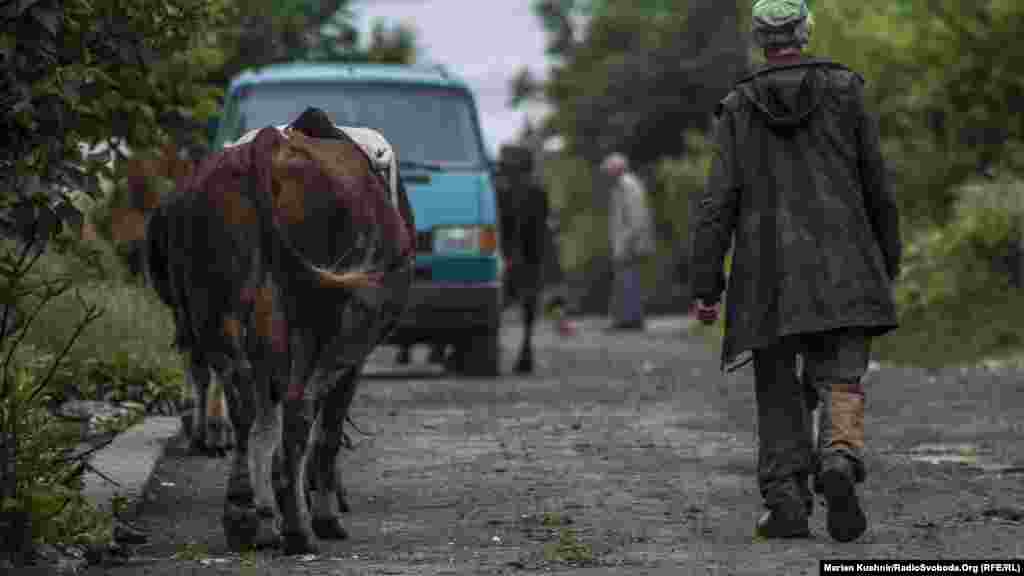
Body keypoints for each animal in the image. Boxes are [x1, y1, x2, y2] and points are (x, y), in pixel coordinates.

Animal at [144, 107, 415, 553]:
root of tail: (268, 143)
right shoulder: (352, 354)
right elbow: (326, 430)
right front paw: (320, 511)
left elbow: (263, 424)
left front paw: (266, 512)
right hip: (325, 325)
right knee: (298, 409)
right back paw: (301, 528)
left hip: (215, 311)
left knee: (242, 401)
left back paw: (241, 511)